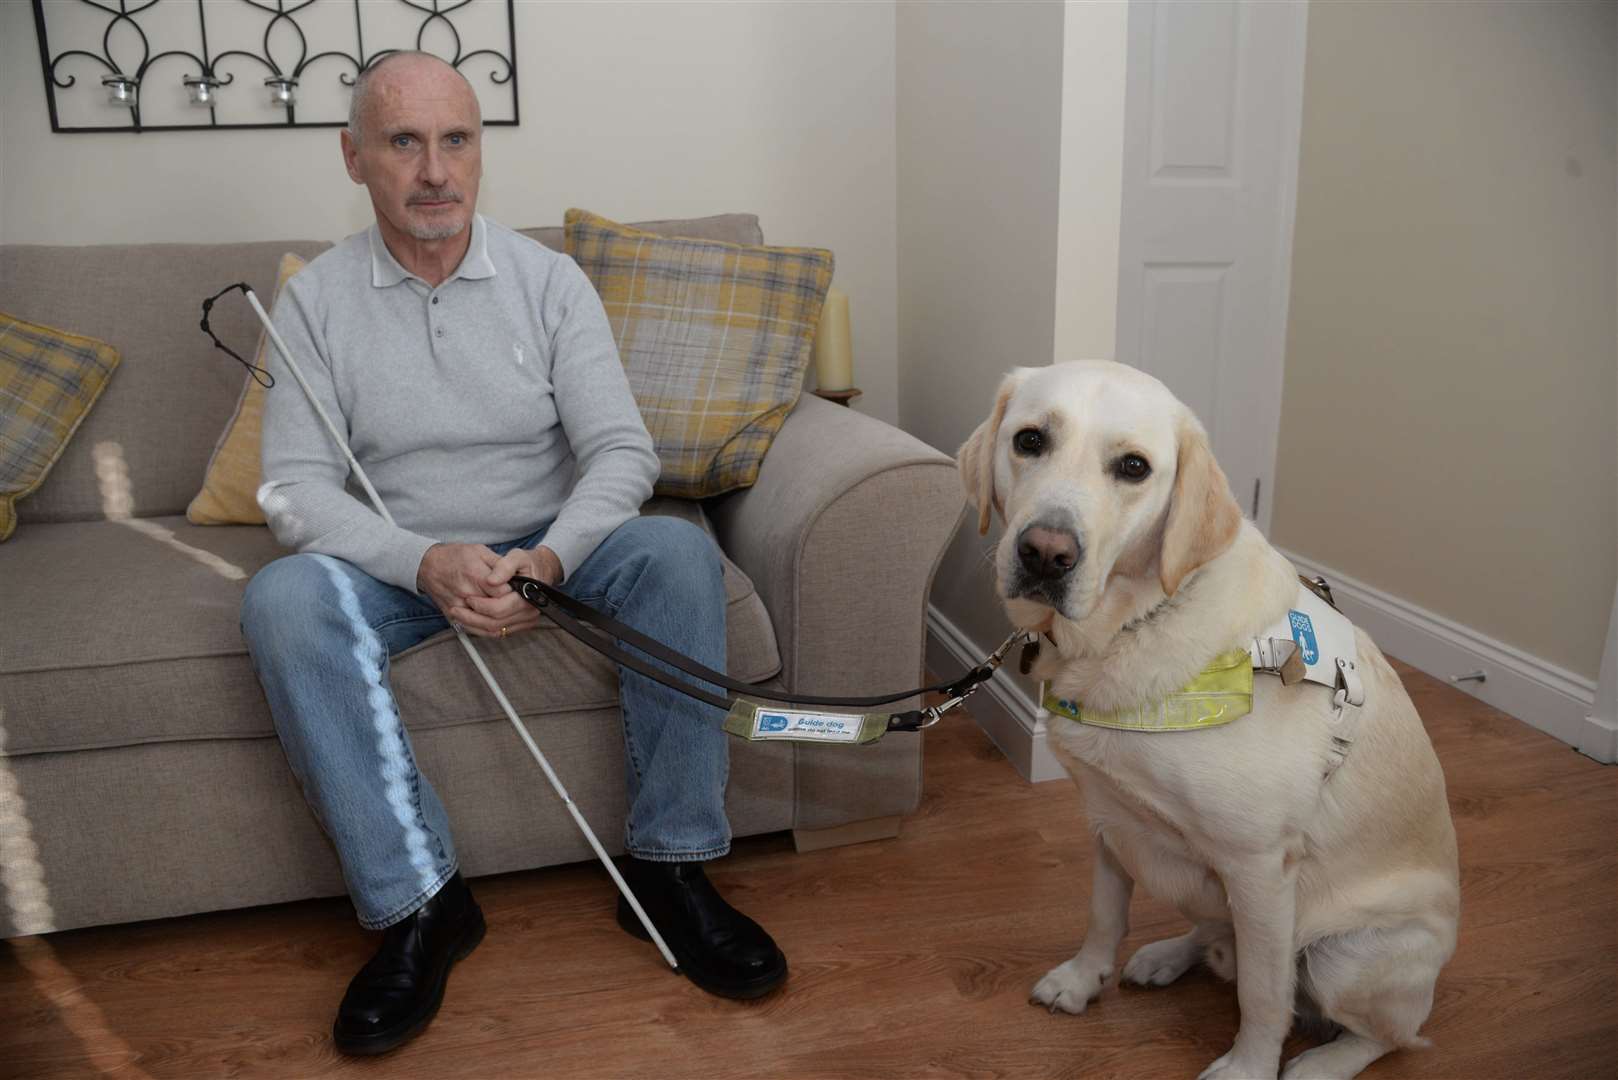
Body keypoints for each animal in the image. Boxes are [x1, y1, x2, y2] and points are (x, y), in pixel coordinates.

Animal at [951, 362, 1462, 1080]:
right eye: (1029, 440)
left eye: (1134, 467)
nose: (1046, 554)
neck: (1133, 626)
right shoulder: (1109, 819)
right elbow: (1104, 915)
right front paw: (1082, 980)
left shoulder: (1259, 867)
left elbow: (1265, 994)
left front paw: (1249, 1067)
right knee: (1218, 937)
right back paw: (1167, 956)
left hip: (1350, 956)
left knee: (1389, 1033)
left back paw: (1320, 1062)